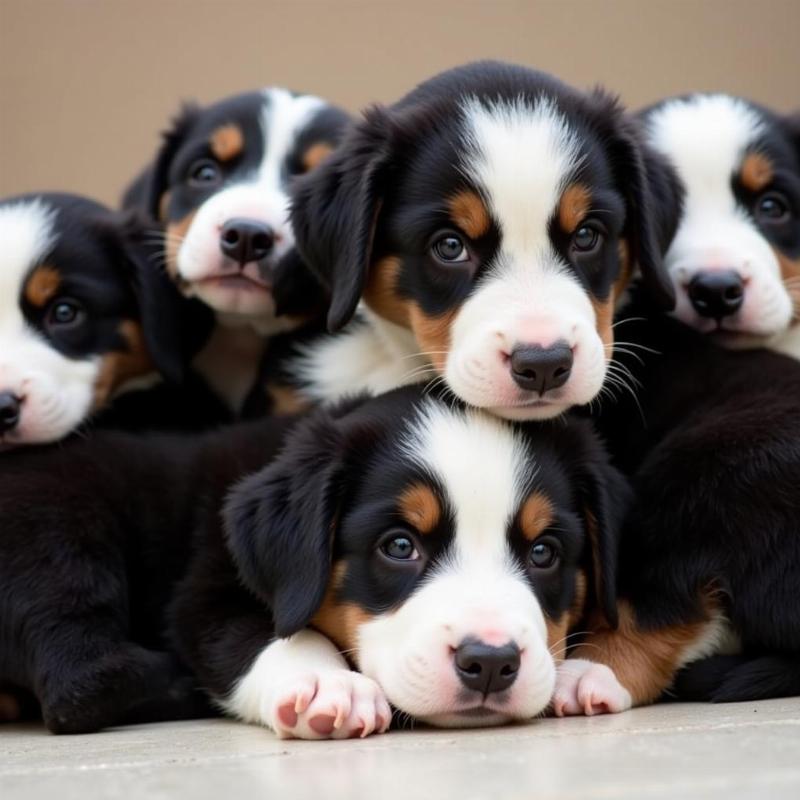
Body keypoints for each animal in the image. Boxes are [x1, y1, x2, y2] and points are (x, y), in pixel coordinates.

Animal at [0, 384, 628, 736]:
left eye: (543, 552)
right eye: (399, 546)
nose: (492, 663)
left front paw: (574, 675)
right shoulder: (205, 589)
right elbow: (279, 636)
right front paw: (329, 687)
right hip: (62, 532)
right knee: (78, 680)